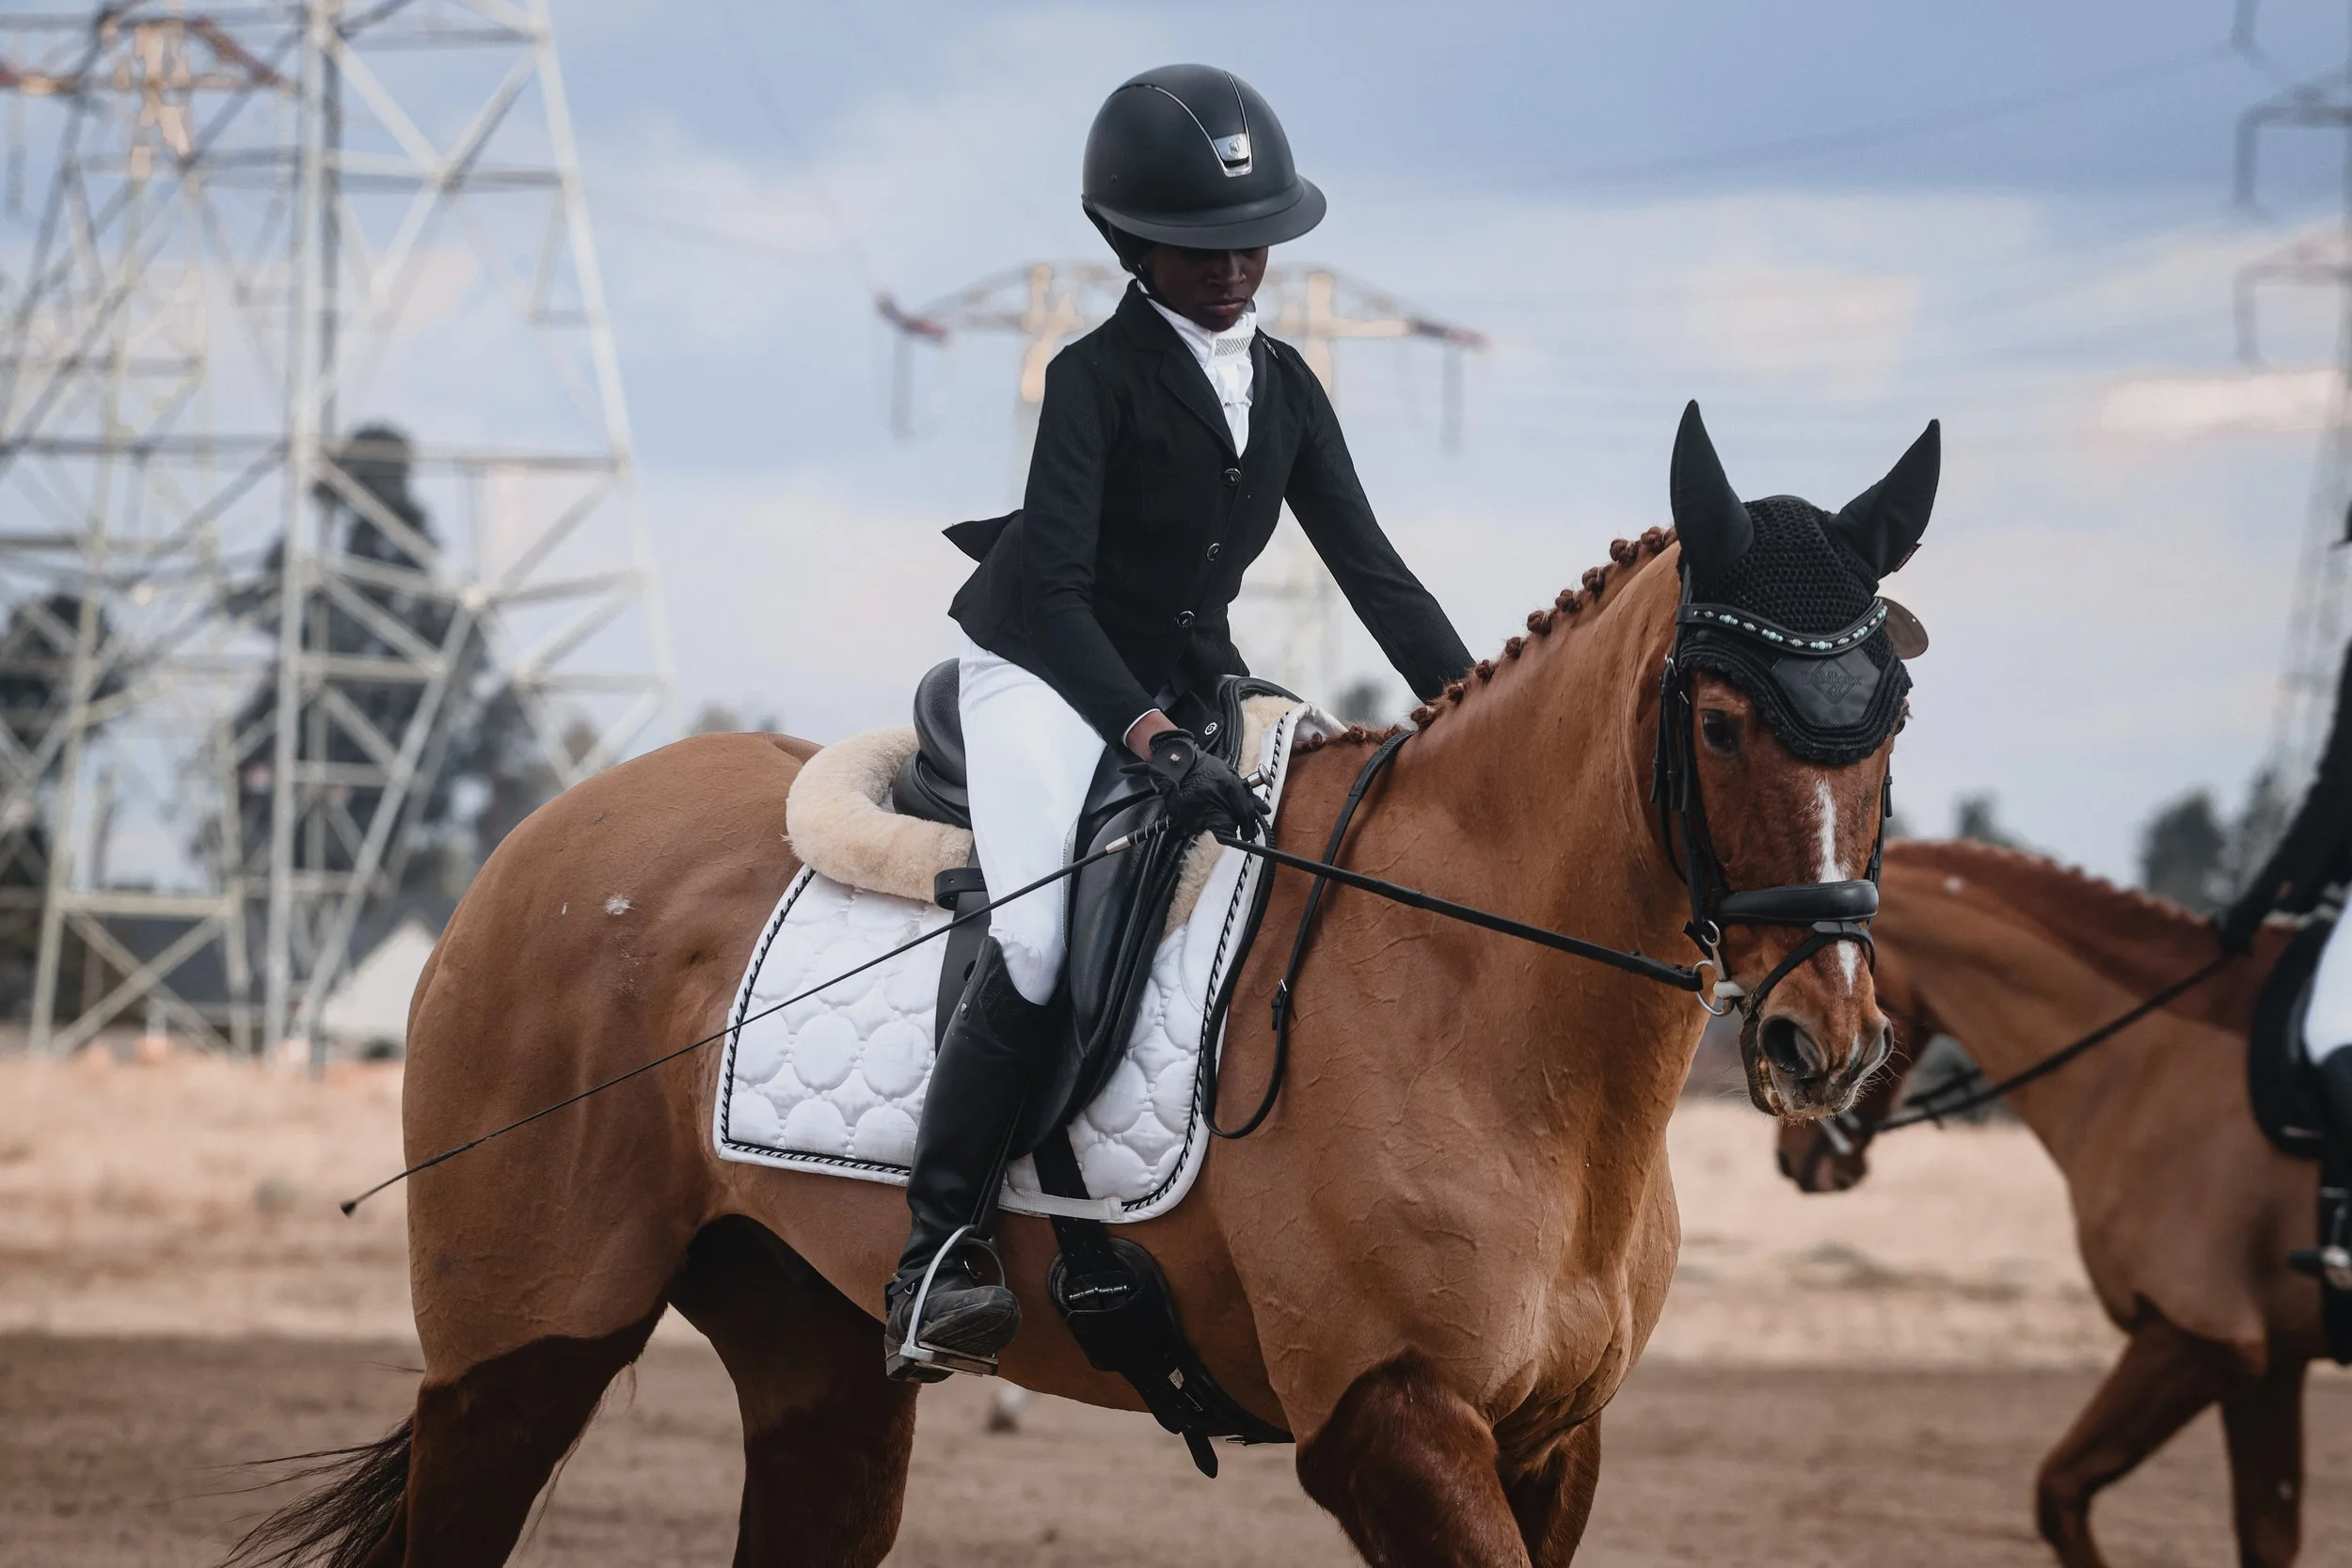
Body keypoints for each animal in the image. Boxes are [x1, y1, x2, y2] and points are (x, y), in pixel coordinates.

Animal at [234, 408, 1933, 1568]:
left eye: (1894, 711)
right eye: (1722, 720)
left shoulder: (1551, 1442)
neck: (1495, 1018)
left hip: (820, 1366)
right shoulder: (1388, 1421)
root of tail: (533, 844)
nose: (1826, 1036)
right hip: (519, 1350)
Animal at [1774, 838, 2322, 1568]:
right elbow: (2266, 1537)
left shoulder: (2198, 1335)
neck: (2148, 1058)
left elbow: (2058, 1494)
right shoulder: (2271, 1360)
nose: (1790, 1154)